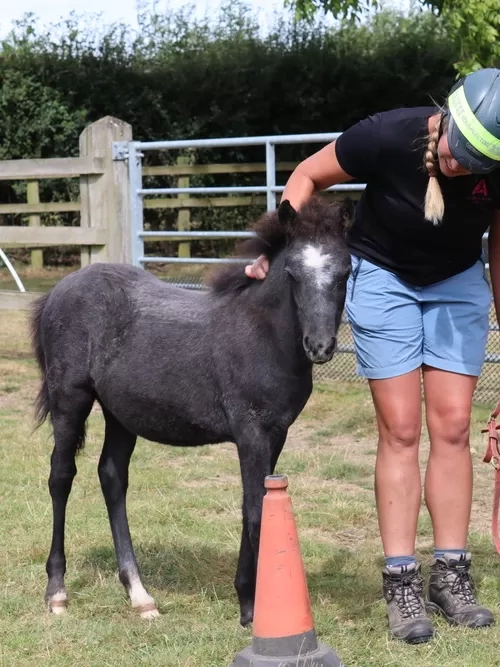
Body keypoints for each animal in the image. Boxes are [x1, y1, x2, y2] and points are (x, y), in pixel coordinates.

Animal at [30, 194, 353, 624]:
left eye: (345, 272)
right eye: (293, 272)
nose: (320, 346)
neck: (264, 335)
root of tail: (58, 290)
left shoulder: (277, 434)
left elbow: (256, 505)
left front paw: (248, 599)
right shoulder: (250, 433)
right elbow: (255, 510)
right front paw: (253, 609)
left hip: (121, 414)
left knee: (112, 476)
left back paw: (140, 594)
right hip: (70, 398)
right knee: (61, 477)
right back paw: (57, 592)